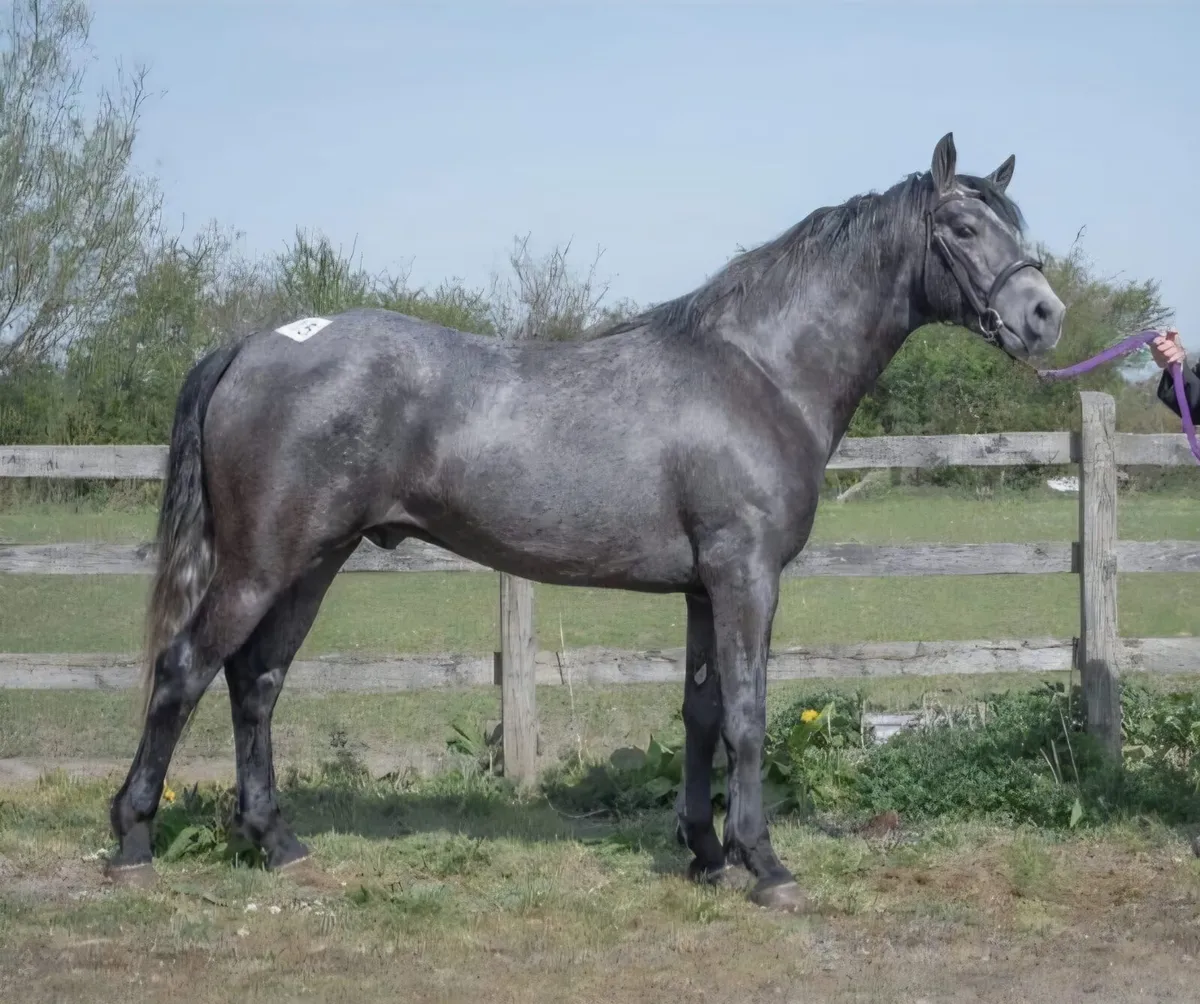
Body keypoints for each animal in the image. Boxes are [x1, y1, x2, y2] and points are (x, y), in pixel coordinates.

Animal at [105, 132, 1065, 911]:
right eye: (963, 228)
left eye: (1014, 223)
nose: (1045, 317)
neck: (758, 370)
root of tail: (255, 344)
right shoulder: (747, 576)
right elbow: (748, 714)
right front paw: (765, 865)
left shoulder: (704, 589)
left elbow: (701, 715)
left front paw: (705, 855)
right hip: (264, 561)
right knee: (186, 669)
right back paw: (133, 842)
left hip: (314, 561)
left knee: (256, 683)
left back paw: (277, 843)